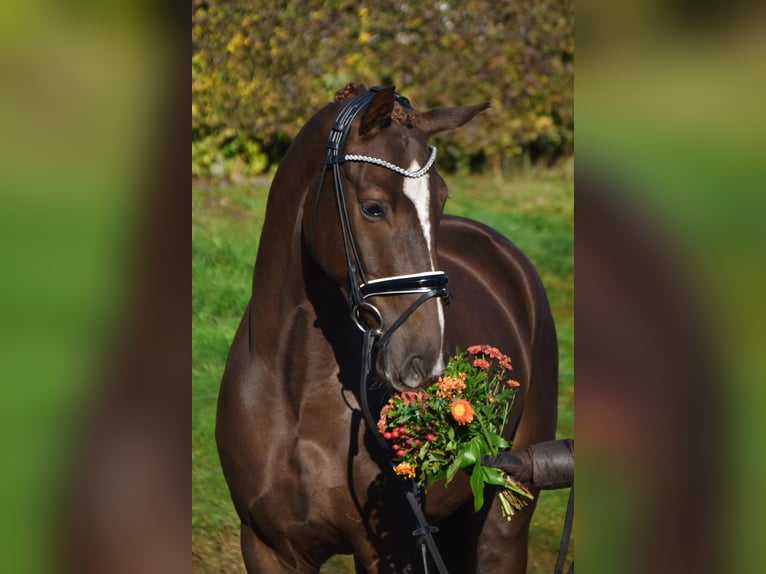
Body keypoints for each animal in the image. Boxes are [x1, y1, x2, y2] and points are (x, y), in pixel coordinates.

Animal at [216, 83, 560, 572]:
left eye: (441, 200)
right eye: (373, 207)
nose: (425, 359)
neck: (295, 392)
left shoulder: (393, 550)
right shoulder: (267, 547)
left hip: (504, 520)